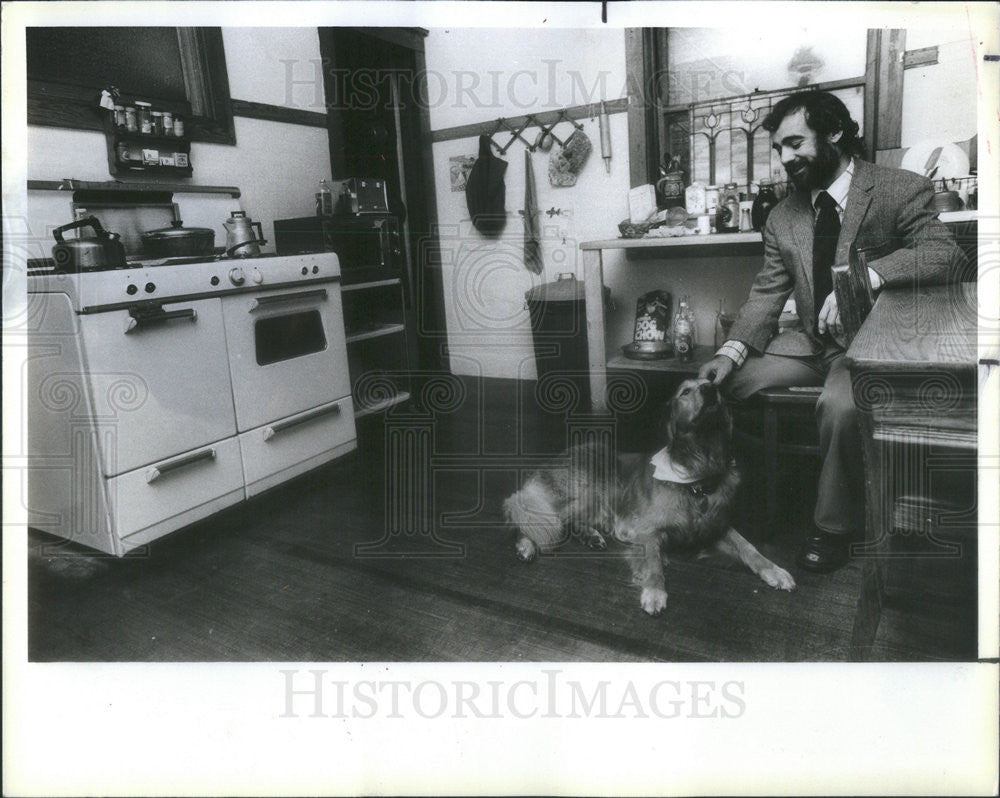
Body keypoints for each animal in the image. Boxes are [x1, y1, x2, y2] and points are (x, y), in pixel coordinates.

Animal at [508, 378, 796, 616]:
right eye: (685, 391)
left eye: (714, 385)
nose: (710, 388)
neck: (697, 474)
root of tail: (555, 458)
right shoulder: (648, 530)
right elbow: (654, 563)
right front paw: (655, 592)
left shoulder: (716, 526)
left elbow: (749, 547)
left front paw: (775, 570)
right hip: (595, 490)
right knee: (541, 519)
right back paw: (527, 546)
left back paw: (591, 536)